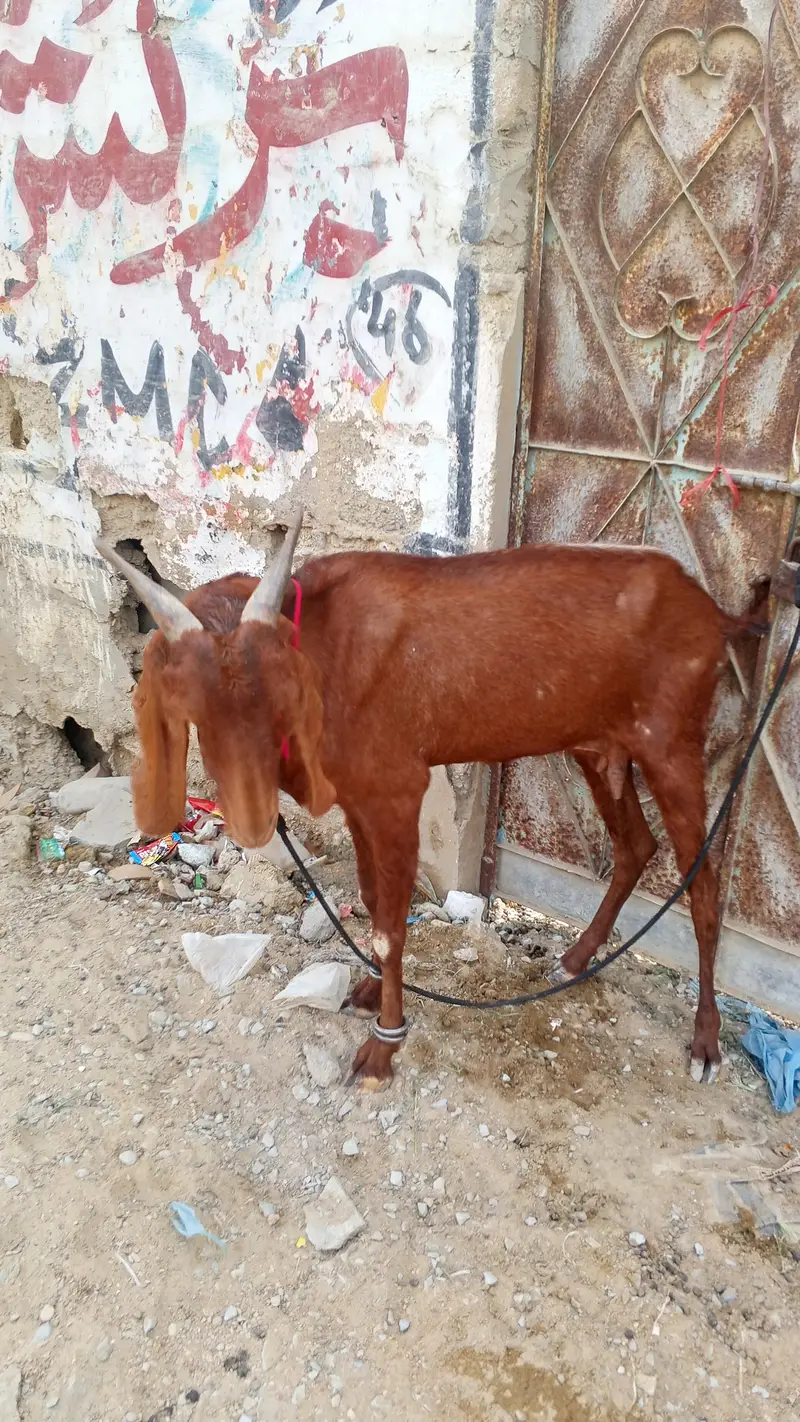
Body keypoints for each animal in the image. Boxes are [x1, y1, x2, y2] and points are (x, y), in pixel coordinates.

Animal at [96, 516, 764, 1090]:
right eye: (192, 707)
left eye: (279, 694)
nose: (255, 822)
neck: (324, 647)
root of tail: (713, 611)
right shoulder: (358, 799)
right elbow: (371, 901)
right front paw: (369, 992)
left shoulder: (397, 791)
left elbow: (391, 926)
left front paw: (383, 1046)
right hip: (598, 748)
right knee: (636, 846)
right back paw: (575, 961)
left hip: (671, 746)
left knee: (703, 887)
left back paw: (706, 1041)